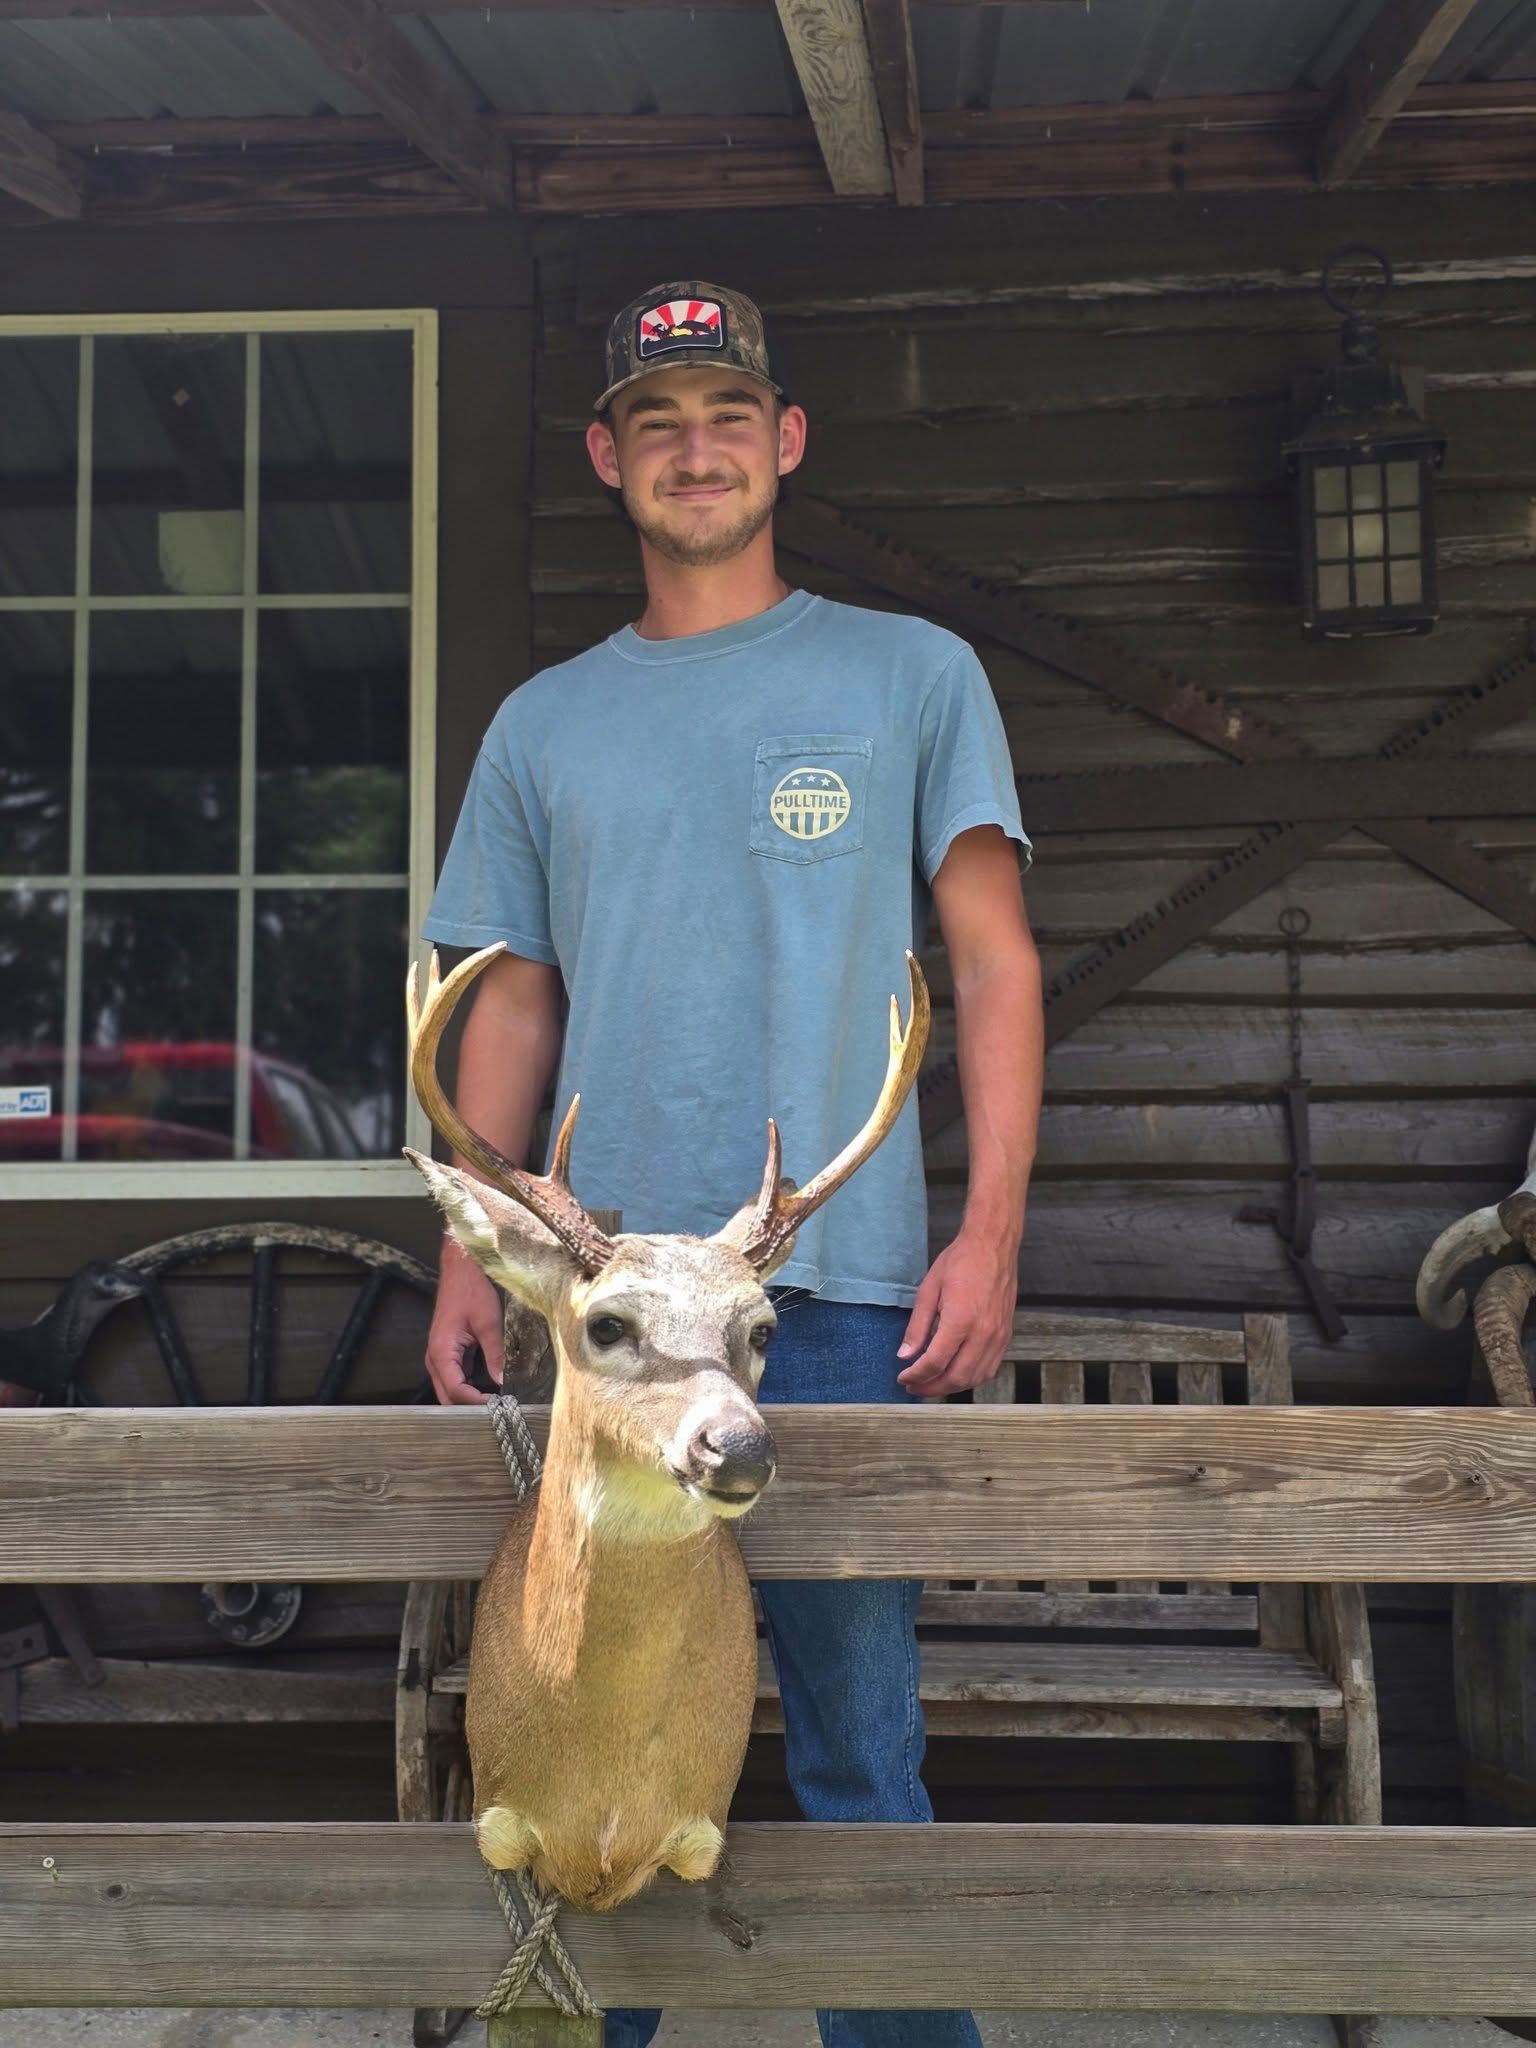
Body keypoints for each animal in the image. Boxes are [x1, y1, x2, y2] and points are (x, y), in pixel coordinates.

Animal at [403, 939, 930, 1913]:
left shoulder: (700, 1829)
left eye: (763, 1330)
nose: (737, 1446)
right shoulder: (495, 1820)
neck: (603, 1811)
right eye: (608, 1324)